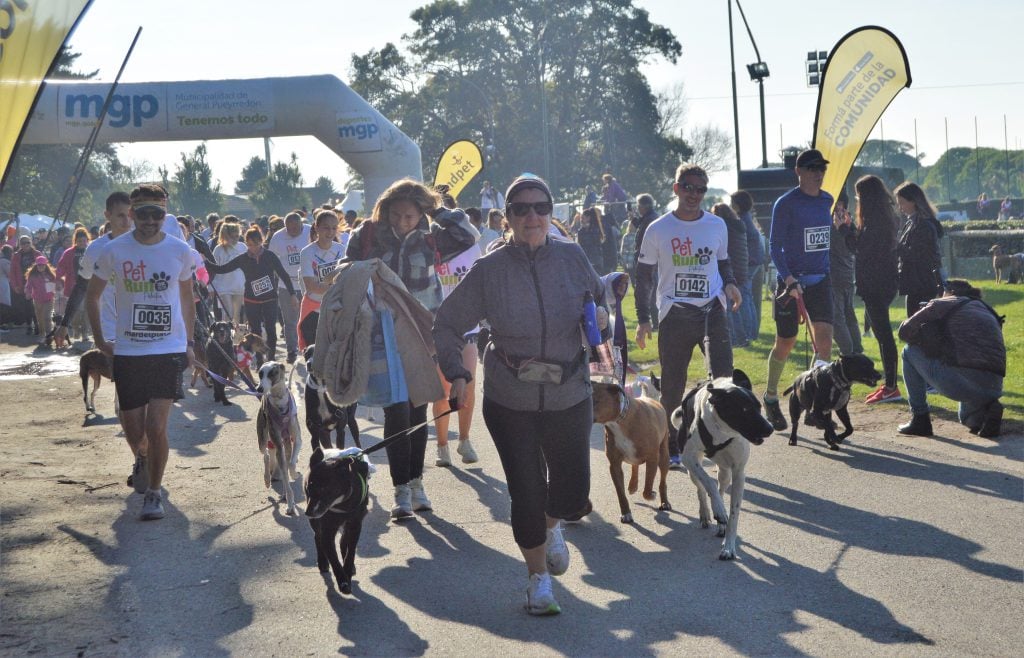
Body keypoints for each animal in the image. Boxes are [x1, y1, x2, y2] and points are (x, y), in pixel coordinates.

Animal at [256, 362, 303, 517]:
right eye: (260, 374)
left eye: (272, 373)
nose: (259, 389)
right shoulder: (277, 442)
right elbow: (285, 471)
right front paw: (289, 504)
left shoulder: (297, 439)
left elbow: (291, 464)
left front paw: (294, 475)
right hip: (263, 438)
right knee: (265, 455)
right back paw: (267, 479)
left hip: (286, 442)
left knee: (285, 463)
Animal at [305, 448, 374, 597]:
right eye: (308, 488)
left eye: (323, 489)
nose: (308, 513)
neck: (342, 503)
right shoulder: (327, 530)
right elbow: (334, 558)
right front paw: (343, 581)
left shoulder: (355, 525)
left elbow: (350, 552)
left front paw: (347, 571)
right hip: (318, 524)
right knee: (317, 537)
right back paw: (322, 561)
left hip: (347, 525)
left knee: (343, 541)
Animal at [593, 380, 671, 523]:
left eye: (594, 400)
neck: (619, 421)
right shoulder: (614, 465)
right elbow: (620, 493)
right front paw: (626, 513)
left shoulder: (652, 459)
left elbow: (647, 489)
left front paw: (651, 494)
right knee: (635, 466)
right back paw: (632, 485)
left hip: (664, 457)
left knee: (662, 481)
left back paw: (664, 502)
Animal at [671, 370, 770, 560]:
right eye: (744, 409)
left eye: (759, 407)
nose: (770, 428)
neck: (723, 432)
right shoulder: (688, 458)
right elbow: (708, 483)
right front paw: (716, 510)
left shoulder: (738, 472)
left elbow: (734, 513)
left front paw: (729, 547)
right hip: (691, 469)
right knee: (701, 488)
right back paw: (707, 512)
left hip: (725, 472)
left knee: (721, 490)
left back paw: (720, 519)